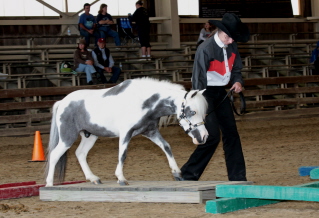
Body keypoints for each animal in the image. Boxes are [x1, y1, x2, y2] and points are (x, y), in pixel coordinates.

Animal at [45, 77, 210, 186]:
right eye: (193, 112)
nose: (204, 136)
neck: (143, 101)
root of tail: (62, 102)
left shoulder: (150, 132)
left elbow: (166, 147)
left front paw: (177, 173)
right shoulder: (126, 133)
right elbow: (122, 154)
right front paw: (121, 178)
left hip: (90, 136)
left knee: (80, 153)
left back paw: (93, 178)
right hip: (67, 137)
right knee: (54, 154)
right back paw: (49, 184)